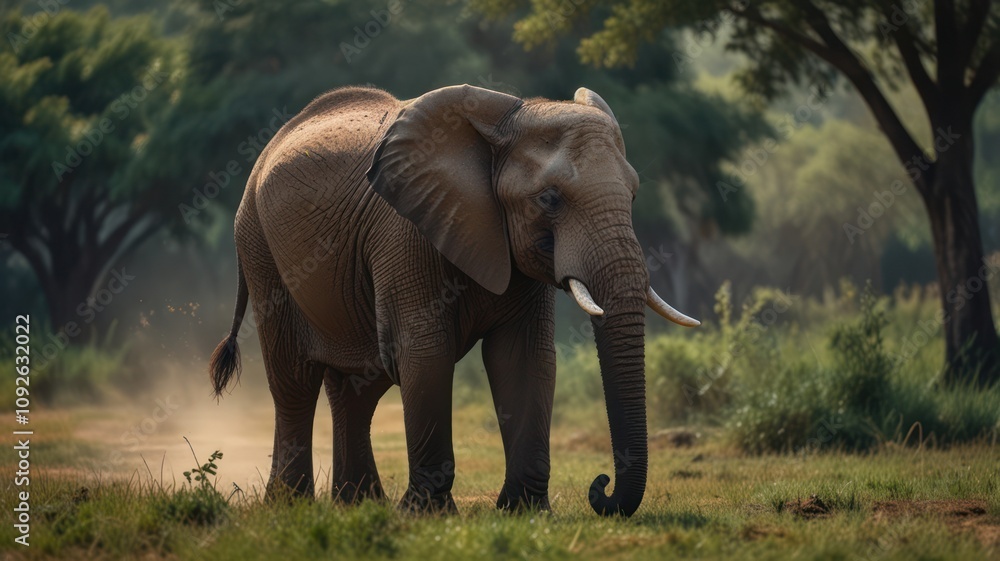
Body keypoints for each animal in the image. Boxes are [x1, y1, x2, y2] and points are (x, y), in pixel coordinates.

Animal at [209, 84, 699, 517]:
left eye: (633, 195)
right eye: (549, 198)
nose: (601, 486)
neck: (508, 118)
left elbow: (524, 357)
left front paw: (525, 512)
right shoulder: (406, 234)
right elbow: (425, 354)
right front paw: (426, 515)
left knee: (358, 386)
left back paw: (360, 506)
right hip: (258, 246)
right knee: (294, 380)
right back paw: (290, 507)